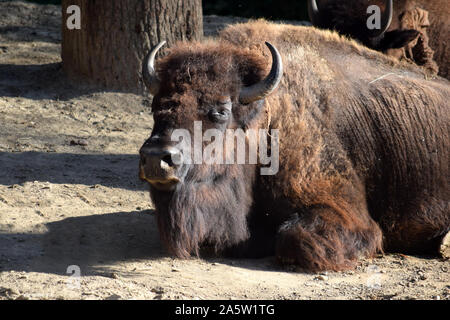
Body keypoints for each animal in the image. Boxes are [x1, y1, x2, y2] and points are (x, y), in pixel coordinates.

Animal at [139, 19, 448, 270]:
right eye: (157, 107)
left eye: (221, 111)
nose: (156, 157)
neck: (267, 116)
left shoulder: (345, 210)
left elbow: (293, 237)